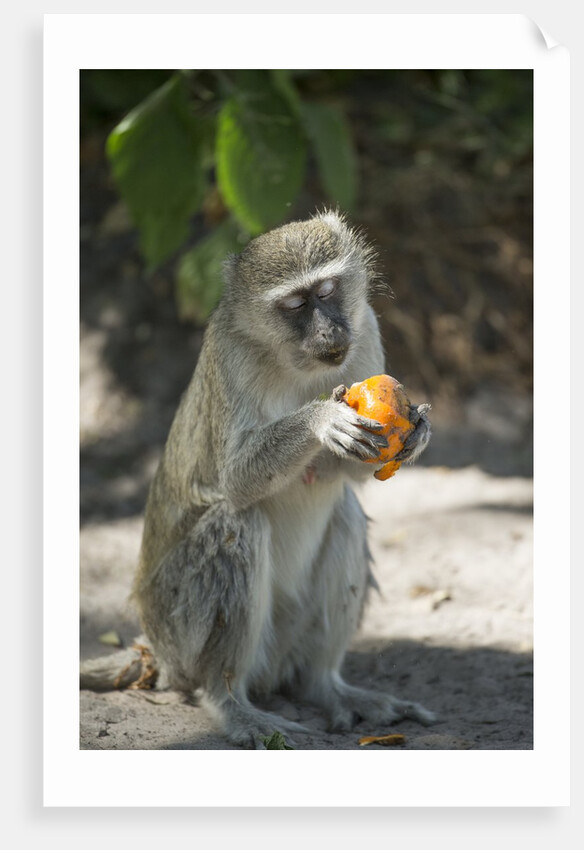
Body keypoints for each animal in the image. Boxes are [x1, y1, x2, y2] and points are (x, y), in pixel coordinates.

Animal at [81, 210, 434, 748]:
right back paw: (230, 703)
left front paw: (416, 432)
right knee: (236, 523)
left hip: (286, 641)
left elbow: (360, 472)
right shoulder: (232, 355)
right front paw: (320, 420)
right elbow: (237, 481)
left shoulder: (366, 326)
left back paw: (326, 687)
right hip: (180, 630)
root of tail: (157, 650)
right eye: (296, 304)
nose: (330, 330)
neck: (296, 360)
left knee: (345, 515)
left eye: (327, 290)